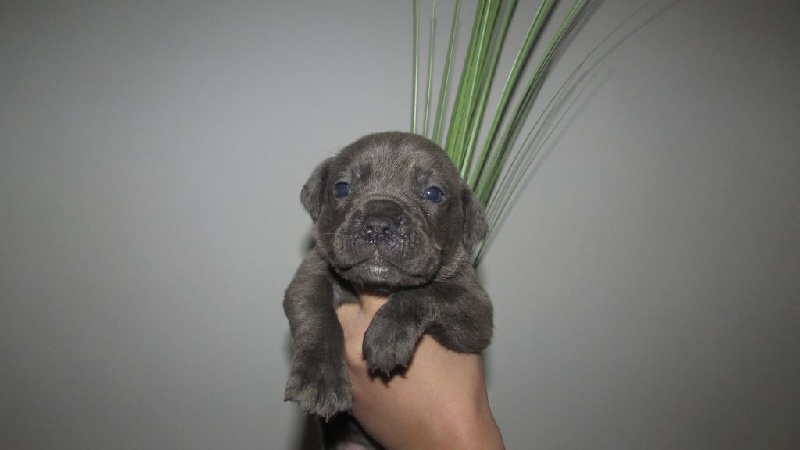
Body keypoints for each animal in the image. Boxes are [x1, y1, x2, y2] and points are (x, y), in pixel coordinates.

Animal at [283, 131, 493, 445]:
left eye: (433, 193)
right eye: (342, 188)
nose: (379, 223)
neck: (379, 288)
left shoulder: (476, 312)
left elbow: (427, 292)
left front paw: (387, 333)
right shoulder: (310, 274)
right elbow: (316, 314)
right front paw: (319, 378)